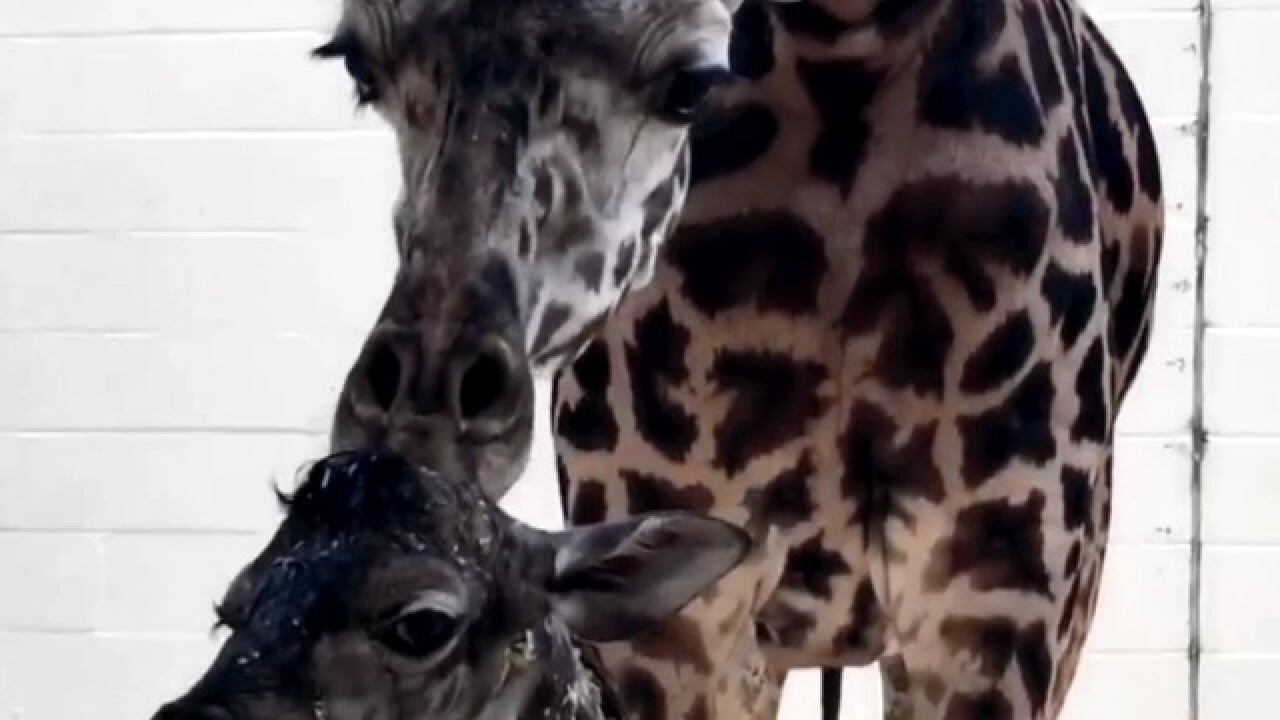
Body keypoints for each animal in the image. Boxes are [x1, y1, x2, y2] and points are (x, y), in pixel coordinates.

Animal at [317, 1, 1166, 719]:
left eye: (691, 83)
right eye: (359, 66)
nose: (420, 411)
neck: (845, 51)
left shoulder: (997, 598)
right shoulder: (683, 614)